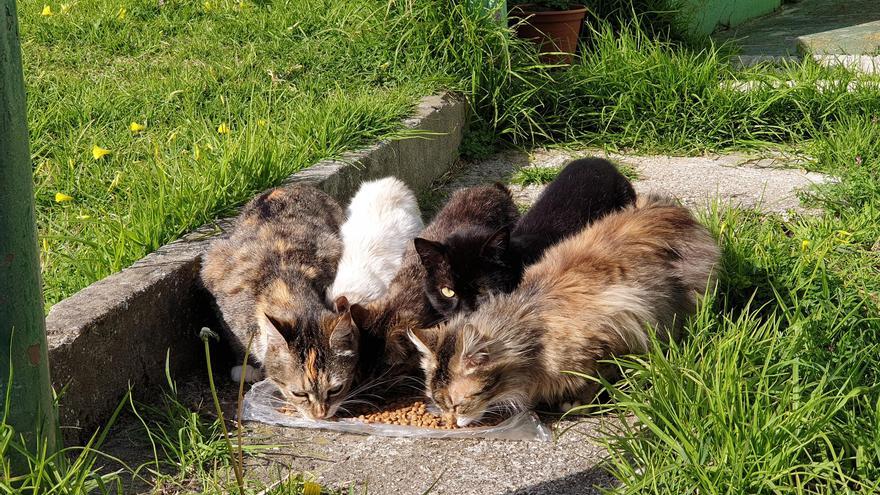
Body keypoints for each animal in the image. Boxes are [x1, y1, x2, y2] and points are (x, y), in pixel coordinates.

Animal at [201, 185, 360, 418]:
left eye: (336, 389)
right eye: (299, 393)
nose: (320, 415)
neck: (285, 286)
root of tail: (287, 186)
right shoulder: (220, 290)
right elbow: (235, 337)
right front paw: (246, 366)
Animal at [410, 194, 720, 426]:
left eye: (458, 404)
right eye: (438, 402)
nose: (450, 421)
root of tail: (666, 208)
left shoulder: (615, 330)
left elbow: (594, 377)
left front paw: (577, 401)